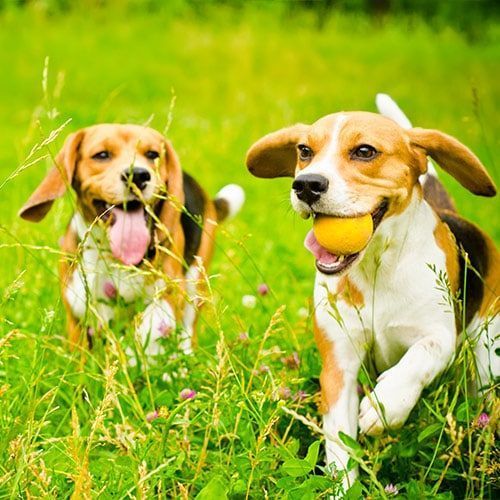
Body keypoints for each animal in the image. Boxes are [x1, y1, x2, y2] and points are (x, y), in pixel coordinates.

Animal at [19, 125, 244, 360]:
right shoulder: (79, 305)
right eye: (102, 155)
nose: (137, 175)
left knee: (186, 331)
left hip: (195, 284)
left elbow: (149, 326)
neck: (114, 256)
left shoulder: (170, 292)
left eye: (153, 154)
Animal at [247, 95, 500, 486]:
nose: (306, 184)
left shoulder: (439, 336)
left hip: (489, 352)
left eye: (365, 151)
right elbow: (339, 445)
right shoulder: (339, 367)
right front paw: (344, 487)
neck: (376, 267)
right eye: (304, 151)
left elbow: (420, 356)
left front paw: (386, 407)